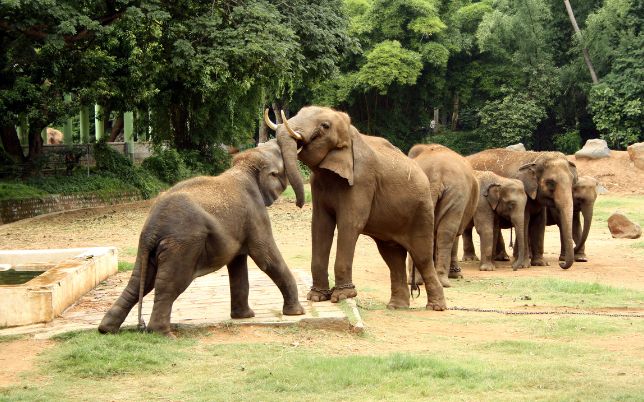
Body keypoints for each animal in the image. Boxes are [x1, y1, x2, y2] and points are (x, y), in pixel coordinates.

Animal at [98, 140, 304, 338]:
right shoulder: (255, 214)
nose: (299, 204)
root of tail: (152, 229)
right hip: (183, 245)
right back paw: (163, 334)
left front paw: (244, 316)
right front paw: (296, 313)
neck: (244, 167)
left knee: (138, 282)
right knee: (169, 284)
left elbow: (237, 264)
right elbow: (266, 258)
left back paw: (106, 329)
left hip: (145, 248)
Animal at [264, 105, 446, 310]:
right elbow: (320, 226)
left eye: (324, 126)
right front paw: (317, 297)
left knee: (421, 256)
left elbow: (350, 224)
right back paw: (396, 307)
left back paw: (435, 307)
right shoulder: (318, 183)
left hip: (422, 211)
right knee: (392, 257)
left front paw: (342, 296)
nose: (298, 204)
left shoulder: (362, 180)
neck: (350, 133)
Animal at [408, 143, 478, 288]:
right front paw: (457, 275)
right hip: (457, 193)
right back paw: (443, 282)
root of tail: (436, 174)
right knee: (447, 232)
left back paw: (415, 281)